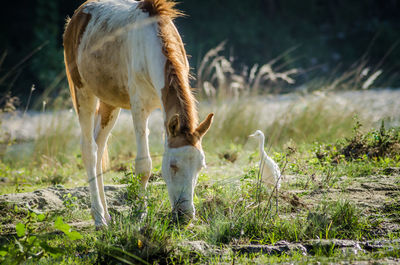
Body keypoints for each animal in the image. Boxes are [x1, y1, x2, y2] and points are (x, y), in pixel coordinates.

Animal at [63, 0, 212, 225]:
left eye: (200, 166)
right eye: (173, 165)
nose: (185, 216)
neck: (150, 46)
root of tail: (77, 16)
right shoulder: (139, 107)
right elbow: (144, 165)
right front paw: (141, 214)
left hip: (110, 104)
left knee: (99, 148)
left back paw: (106, 215)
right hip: (84, 93)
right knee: (89, 149)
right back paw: (98, 218)